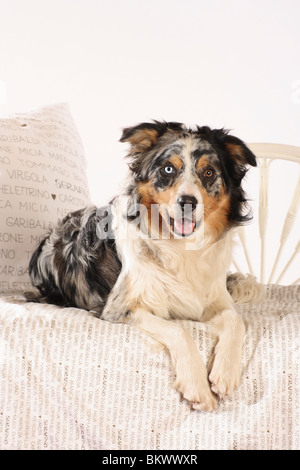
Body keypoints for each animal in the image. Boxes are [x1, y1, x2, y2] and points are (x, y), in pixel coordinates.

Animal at [26, 121, 262, 412]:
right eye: (168, 169)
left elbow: (236, 320)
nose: (188, 202)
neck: (181, 248)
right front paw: (197, 387)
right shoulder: (119, 309)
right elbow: (179, 329)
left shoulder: (214, 300)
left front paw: (225, 373)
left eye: (209, 172)